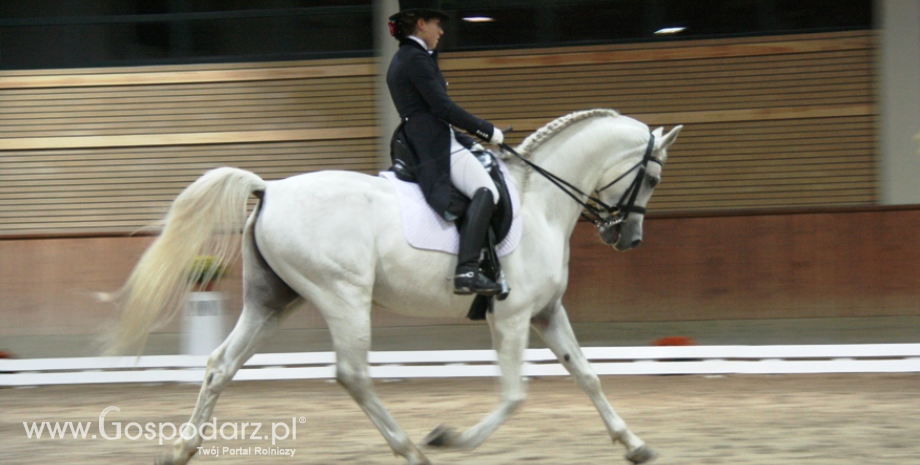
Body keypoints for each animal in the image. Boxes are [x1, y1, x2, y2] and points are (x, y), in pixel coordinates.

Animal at [109, 109, 684, 464]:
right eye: (653, 178)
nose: (627, 238)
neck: (539, 200)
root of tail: (269, 189)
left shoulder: (547, 311)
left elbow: (588, 376)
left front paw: (634, 445)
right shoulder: (513, 315)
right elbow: (515, 394)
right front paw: (451, 437)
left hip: (272, 301)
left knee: (221, 364)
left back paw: (182, 449)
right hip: (342, 296)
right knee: (353, 374)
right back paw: (413, 448)